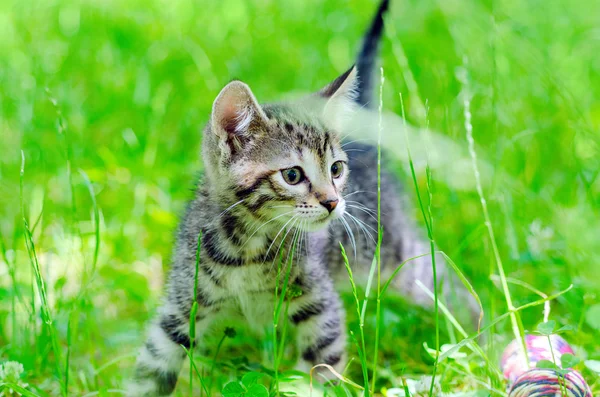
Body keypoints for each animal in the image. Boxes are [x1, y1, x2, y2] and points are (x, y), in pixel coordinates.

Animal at [125, 1, 454, 394]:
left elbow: (321, 366)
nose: (332, 202)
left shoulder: (321, 305)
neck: (246, 248)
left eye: (336, 169)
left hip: (390, 249)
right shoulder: (179, 307)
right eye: (292, 175)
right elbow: (150, 368)